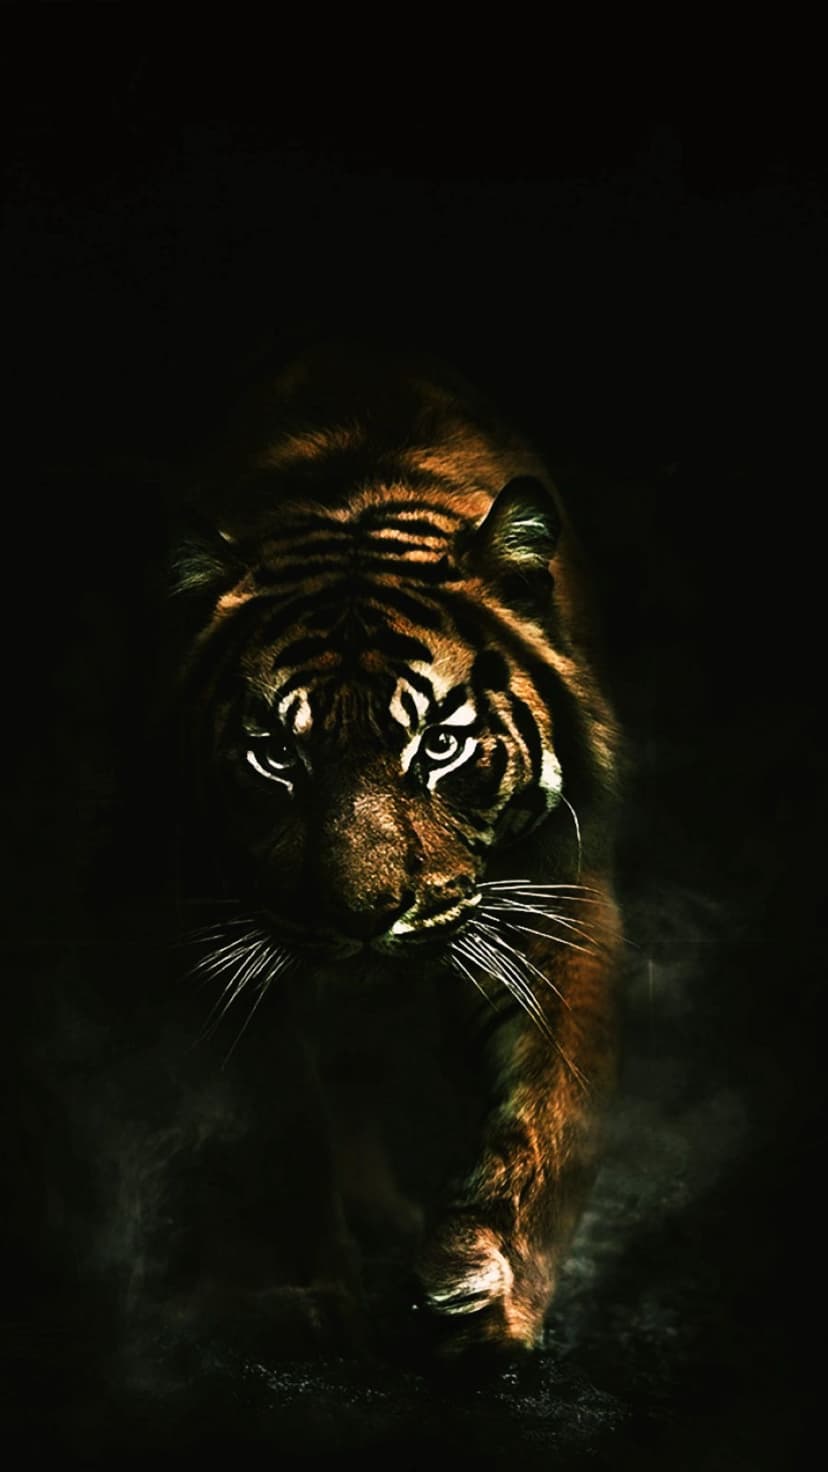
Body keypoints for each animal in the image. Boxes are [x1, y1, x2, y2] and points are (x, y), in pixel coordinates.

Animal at [172, 343, 623, 1366]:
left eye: (440, 746)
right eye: (275, 755)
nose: (363, 916)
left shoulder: (560, 900)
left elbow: (547, 1109)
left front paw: (486, 1290)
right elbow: (282, 1123)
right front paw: (310, 1294)